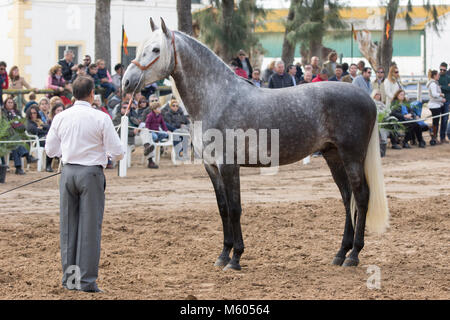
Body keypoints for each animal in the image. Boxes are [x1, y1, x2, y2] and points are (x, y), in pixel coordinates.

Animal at [121, 18, 388, 272]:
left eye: (156, 49)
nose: (126, 82)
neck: (217, 98)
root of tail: (368, 99)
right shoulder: (212, 166)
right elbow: (223, 208)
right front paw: (222, 256)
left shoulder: (229, 165)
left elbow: (235, 208)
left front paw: (236, 258)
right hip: (333, 156)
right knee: (347, 197)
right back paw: (341, 253)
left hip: (352, 156)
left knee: (361, 196)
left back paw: (353, 255)